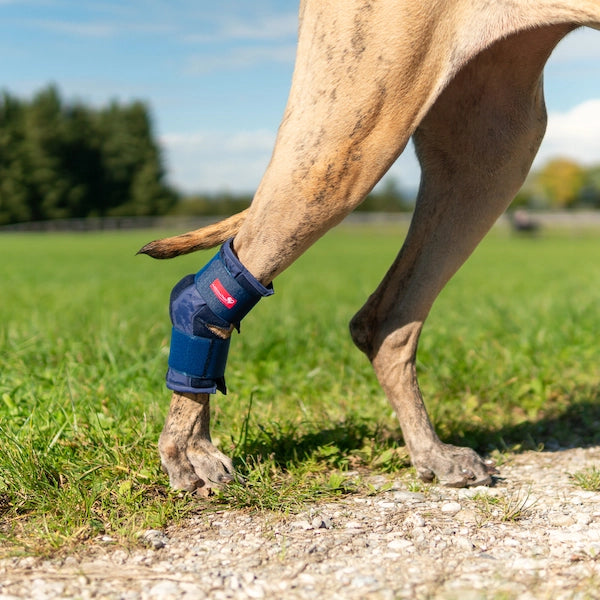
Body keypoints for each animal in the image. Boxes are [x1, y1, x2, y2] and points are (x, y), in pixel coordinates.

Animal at [139, 1, 600, 492]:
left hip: (491, 142)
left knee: (386, 319)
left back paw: (433, 453)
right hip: (352, 134)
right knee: (212, 295)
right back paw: (190, 450)